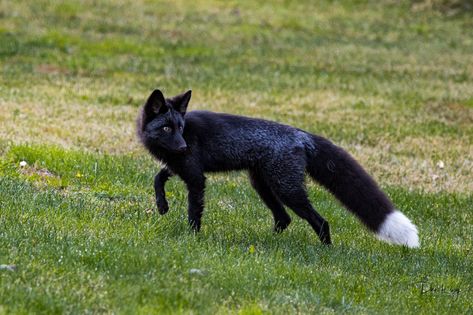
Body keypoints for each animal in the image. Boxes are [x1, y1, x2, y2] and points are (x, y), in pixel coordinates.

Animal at [137, 90, 420, 248]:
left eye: (180, 127)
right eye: (167, 128)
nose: (183, 147)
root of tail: (302, 134)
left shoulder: (196, 178)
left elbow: (194, 212)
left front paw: (192, 238)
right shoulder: (179, 168)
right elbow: (158, 177)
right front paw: (162, 206)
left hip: (287, 190)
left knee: (320, 221)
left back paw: (327, 251)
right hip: (263, 185)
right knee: (284, 219)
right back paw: (268, 241)